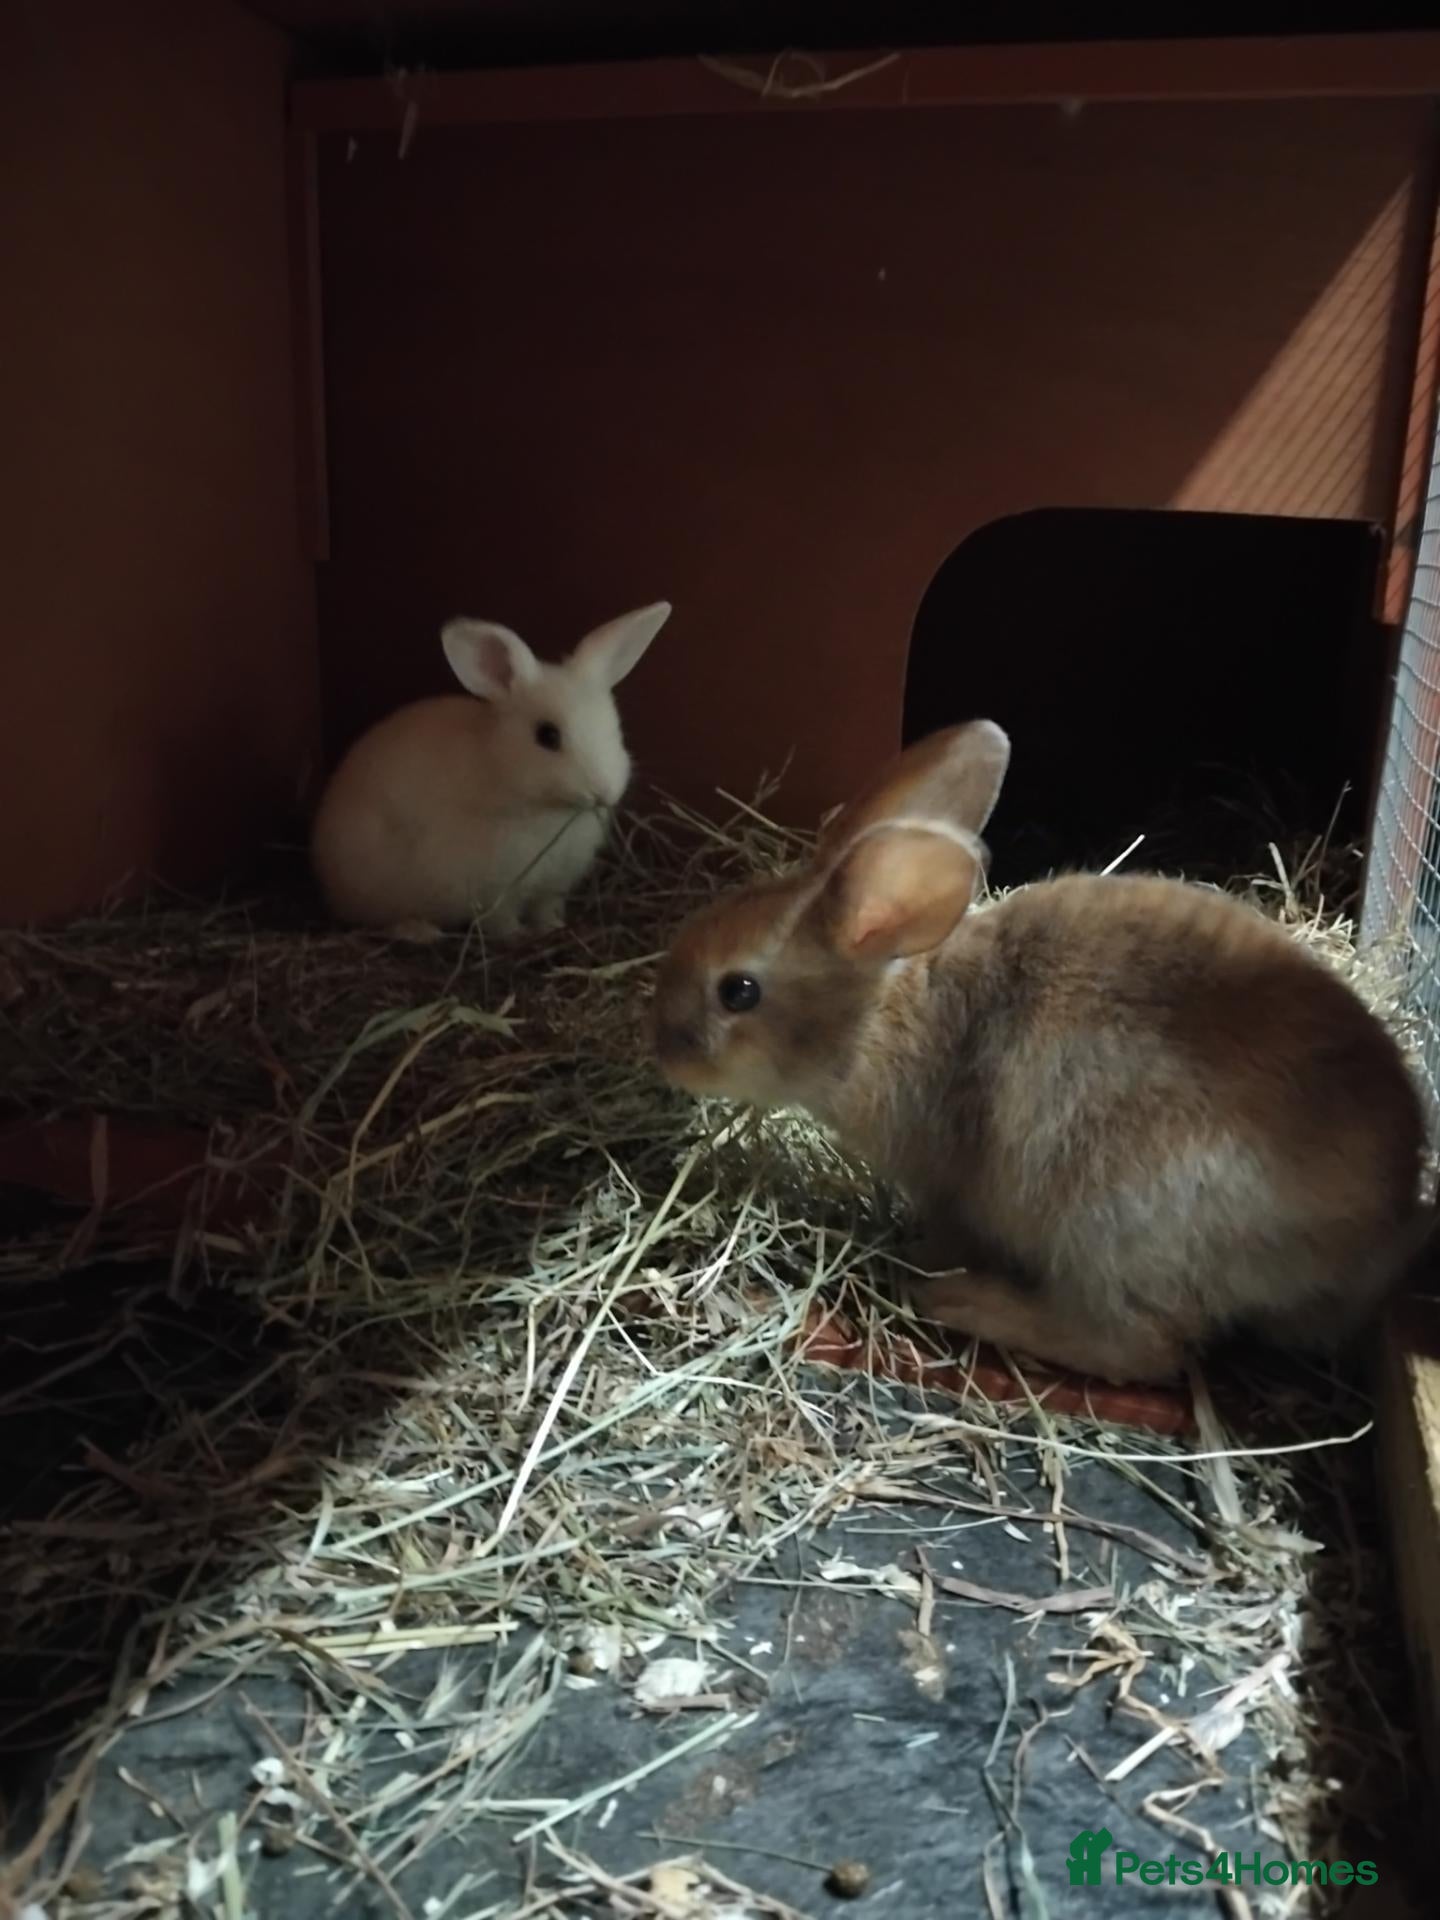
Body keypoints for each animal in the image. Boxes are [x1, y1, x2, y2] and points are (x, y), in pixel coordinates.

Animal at [311, 601, 671, 936]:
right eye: (547, 735)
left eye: (615, 724)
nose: (604, 791)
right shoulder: (495, 893)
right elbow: (502, 921)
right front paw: (518, 936)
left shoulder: (551, 887)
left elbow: (546, 910)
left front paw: (553, 928)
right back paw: (421, 933)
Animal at [651, 720, 1431, 1385]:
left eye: (739, 991)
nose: (663, 1051)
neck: (883, 1016)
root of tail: (1378, 1233)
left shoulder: (950, 1188)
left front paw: (928, 1258)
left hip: (1112, 1214)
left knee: (1145, 1348)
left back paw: (966, 1303)